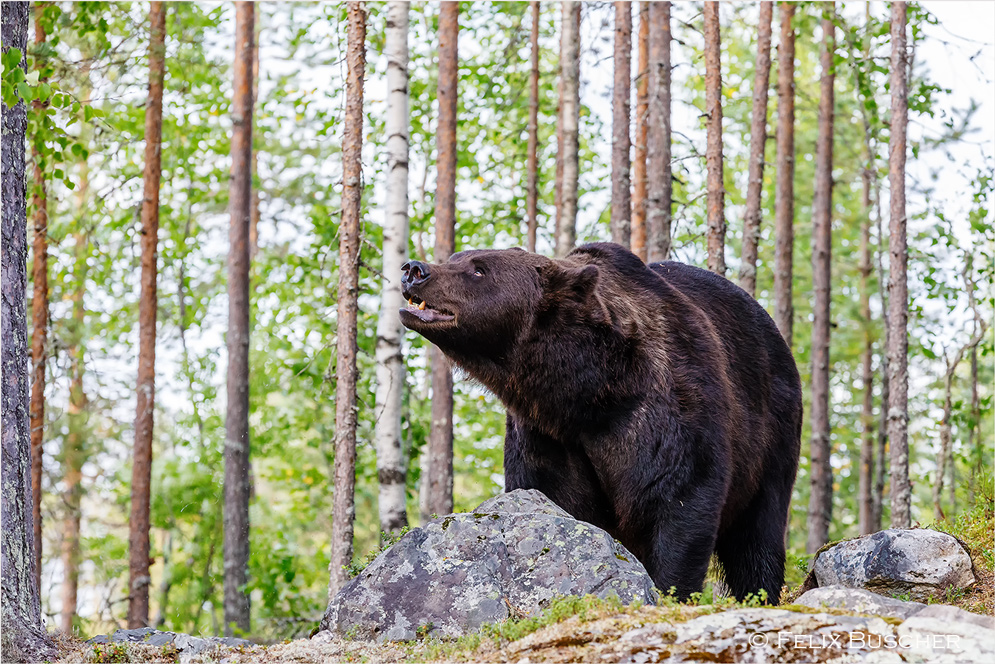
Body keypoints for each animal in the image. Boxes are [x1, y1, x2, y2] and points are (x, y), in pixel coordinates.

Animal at [396, 243, 800, 600]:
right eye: (455, 257)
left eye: (479, 269)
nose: (414, 269)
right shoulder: (546, 435)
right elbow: (551, 497)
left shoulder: (668, 412)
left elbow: (680, 500)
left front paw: (669, 589)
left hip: (772, 434)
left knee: (758, 533)